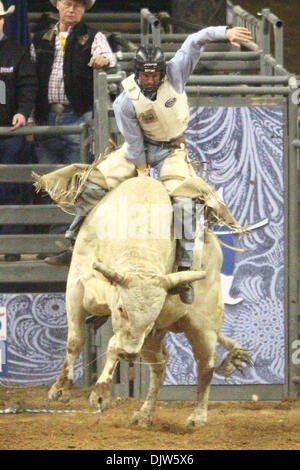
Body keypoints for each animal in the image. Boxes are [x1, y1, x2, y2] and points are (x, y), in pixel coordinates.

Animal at [48, 176, 251, 426]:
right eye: (122, 308)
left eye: (152, 316)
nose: (130, 354)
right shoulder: (76, 288)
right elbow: (75, 340)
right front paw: (60, 389)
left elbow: (113, 345)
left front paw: (100, 393)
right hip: (152, 340)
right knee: (160, 366)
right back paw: (144, 413)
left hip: (203, 327)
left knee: (206, 365)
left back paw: (197, 416)